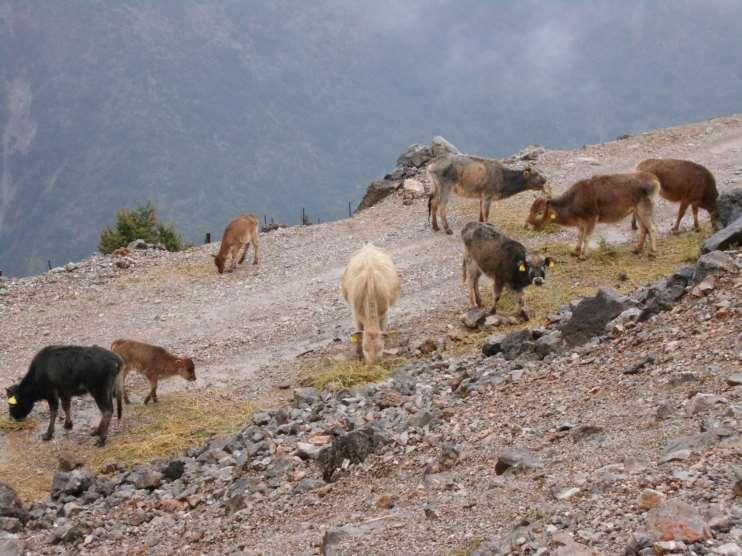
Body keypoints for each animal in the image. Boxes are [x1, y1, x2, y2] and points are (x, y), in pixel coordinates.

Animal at [528, 173, 660, 260]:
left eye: (540, 212)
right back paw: (637, 249)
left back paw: (653, 252)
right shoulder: (581, 222)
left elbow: (586, 237)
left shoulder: (592, 218)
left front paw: (583, 255)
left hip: (645, 209)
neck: (573, 202)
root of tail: (655, 181)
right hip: (637, 211)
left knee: (652, 228)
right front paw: (576, 251)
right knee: (644, 229)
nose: (528, 225)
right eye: (530, 209)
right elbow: (580, 236)